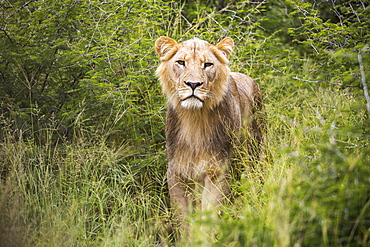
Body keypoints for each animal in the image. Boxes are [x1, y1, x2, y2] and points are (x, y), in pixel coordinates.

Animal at [155, 36, 264, 235]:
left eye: (207, 64)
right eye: (180, 62)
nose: (193, 84)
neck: (194, 120)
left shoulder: (218, 172)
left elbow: (209, 218)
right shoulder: (176, 173)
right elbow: (183, 221)